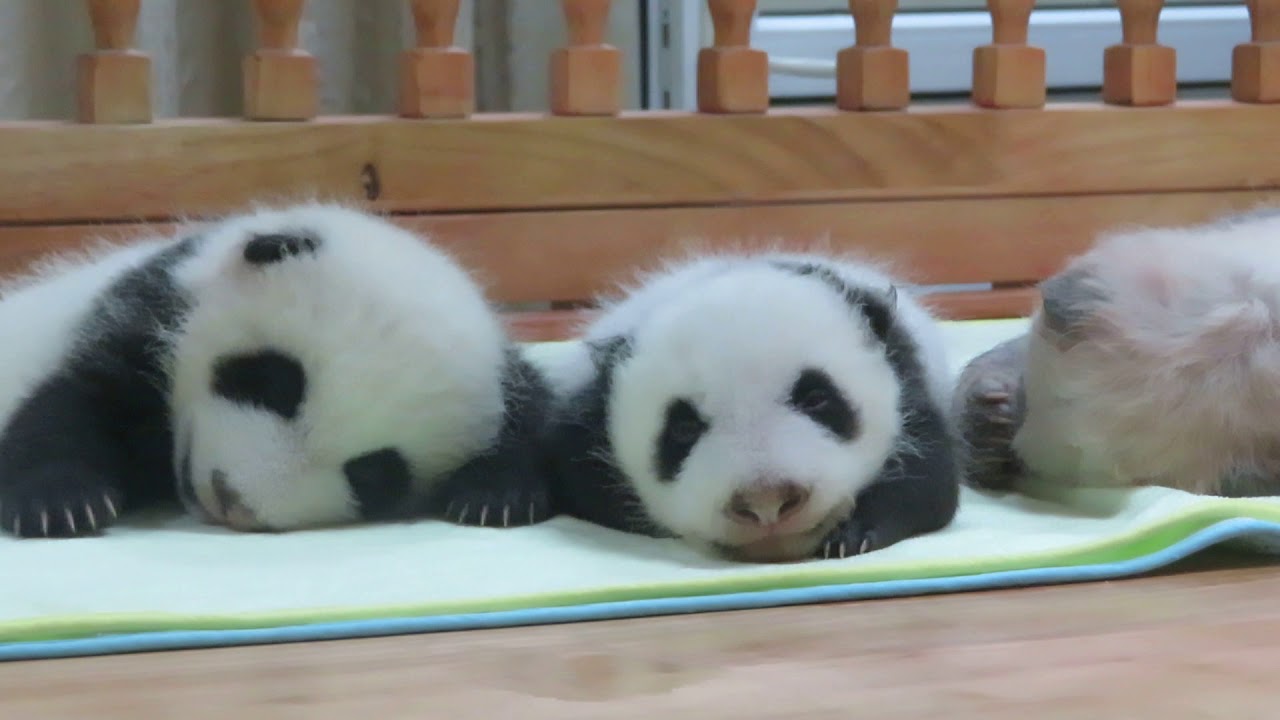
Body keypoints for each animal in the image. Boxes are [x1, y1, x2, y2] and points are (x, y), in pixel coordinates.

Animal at [0, 202, 553, 538]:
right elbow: (78, 398)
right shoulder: (145, 311)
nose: (232, 500)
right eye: (273, 382)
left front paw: (494, 495)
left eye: (373, 474)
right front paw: (60, 504)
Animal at [541, 251, 961, 563]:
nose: (767, 502)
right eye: (683, 428)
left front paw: (853, 533)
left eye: (816, 398)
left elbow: (927, 481)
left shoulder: (910, 387)